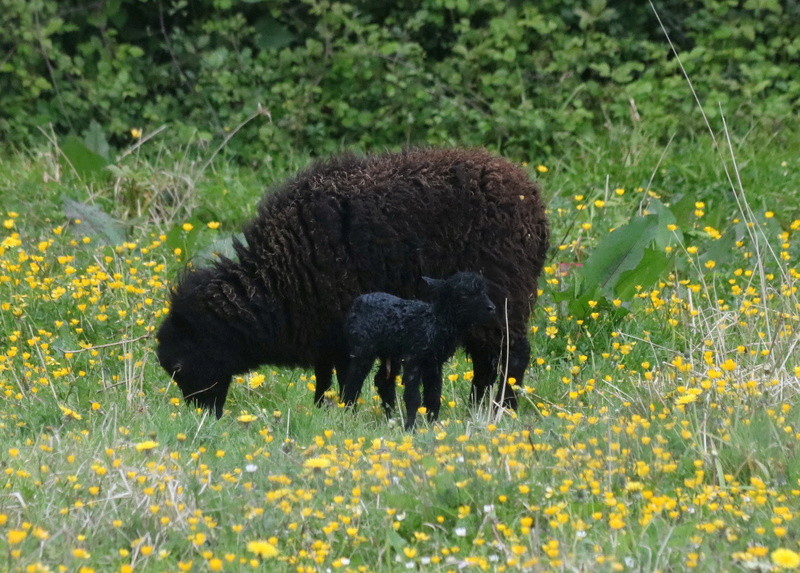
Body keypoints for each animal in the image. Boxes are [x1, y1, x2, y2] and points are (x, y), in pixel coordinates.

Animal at [342, 272, 494, 428]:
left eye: (484, 292)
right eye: (464, 294)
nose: (492, 308)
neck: (434, 323)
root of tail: (359, 300)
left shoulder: (434, 363)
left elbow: (433, 394)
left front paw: (433, 424)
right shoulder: (413, 358)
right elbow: (413, 397)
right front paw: (410, 427)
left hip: (390, 352)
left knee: (383, 380)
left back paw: (390, 417)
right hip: (363, 348)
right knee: (354, 380)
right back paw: (349, 413)